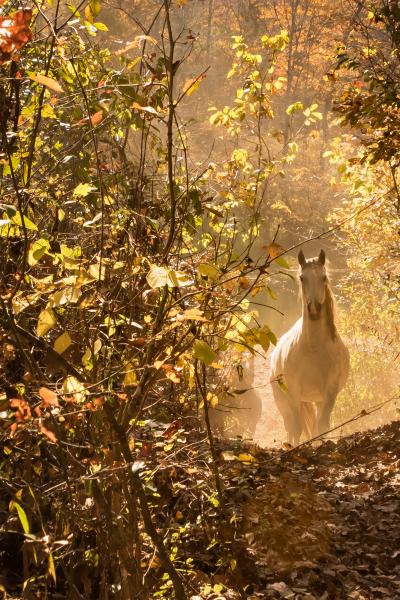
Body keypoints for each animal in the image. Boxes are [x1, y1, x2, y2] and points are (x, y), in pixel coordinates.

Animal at [268, 248, 350, 446]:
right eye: (302, 278)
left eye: (324, 277)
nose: (314, 309)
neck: (313, 348)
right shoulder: (293, 394)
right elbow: (297, 429)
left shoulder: (329, 393)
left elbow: (322, 427)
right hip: (283, 402)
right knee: (290, 427)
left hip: (316, 400)